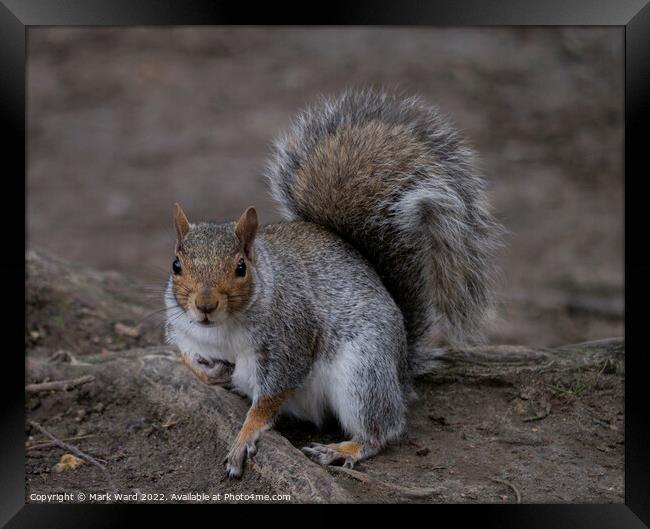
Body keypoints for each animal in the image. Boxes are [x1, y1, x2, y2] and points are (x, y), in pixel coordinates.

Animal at [162, 88, 502, 476]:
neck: (221, 329)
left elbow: (271, 397)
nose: (204, 306)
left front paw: (243, 437)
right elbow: (185, 352)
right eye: (176, 265)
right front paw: (208, 370)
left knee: (384, 428)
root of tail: (401, 371)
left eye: (241, 267)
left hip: (362, 372)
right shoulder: (182, 327)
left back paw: (344, 448)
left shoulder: (291, 337)